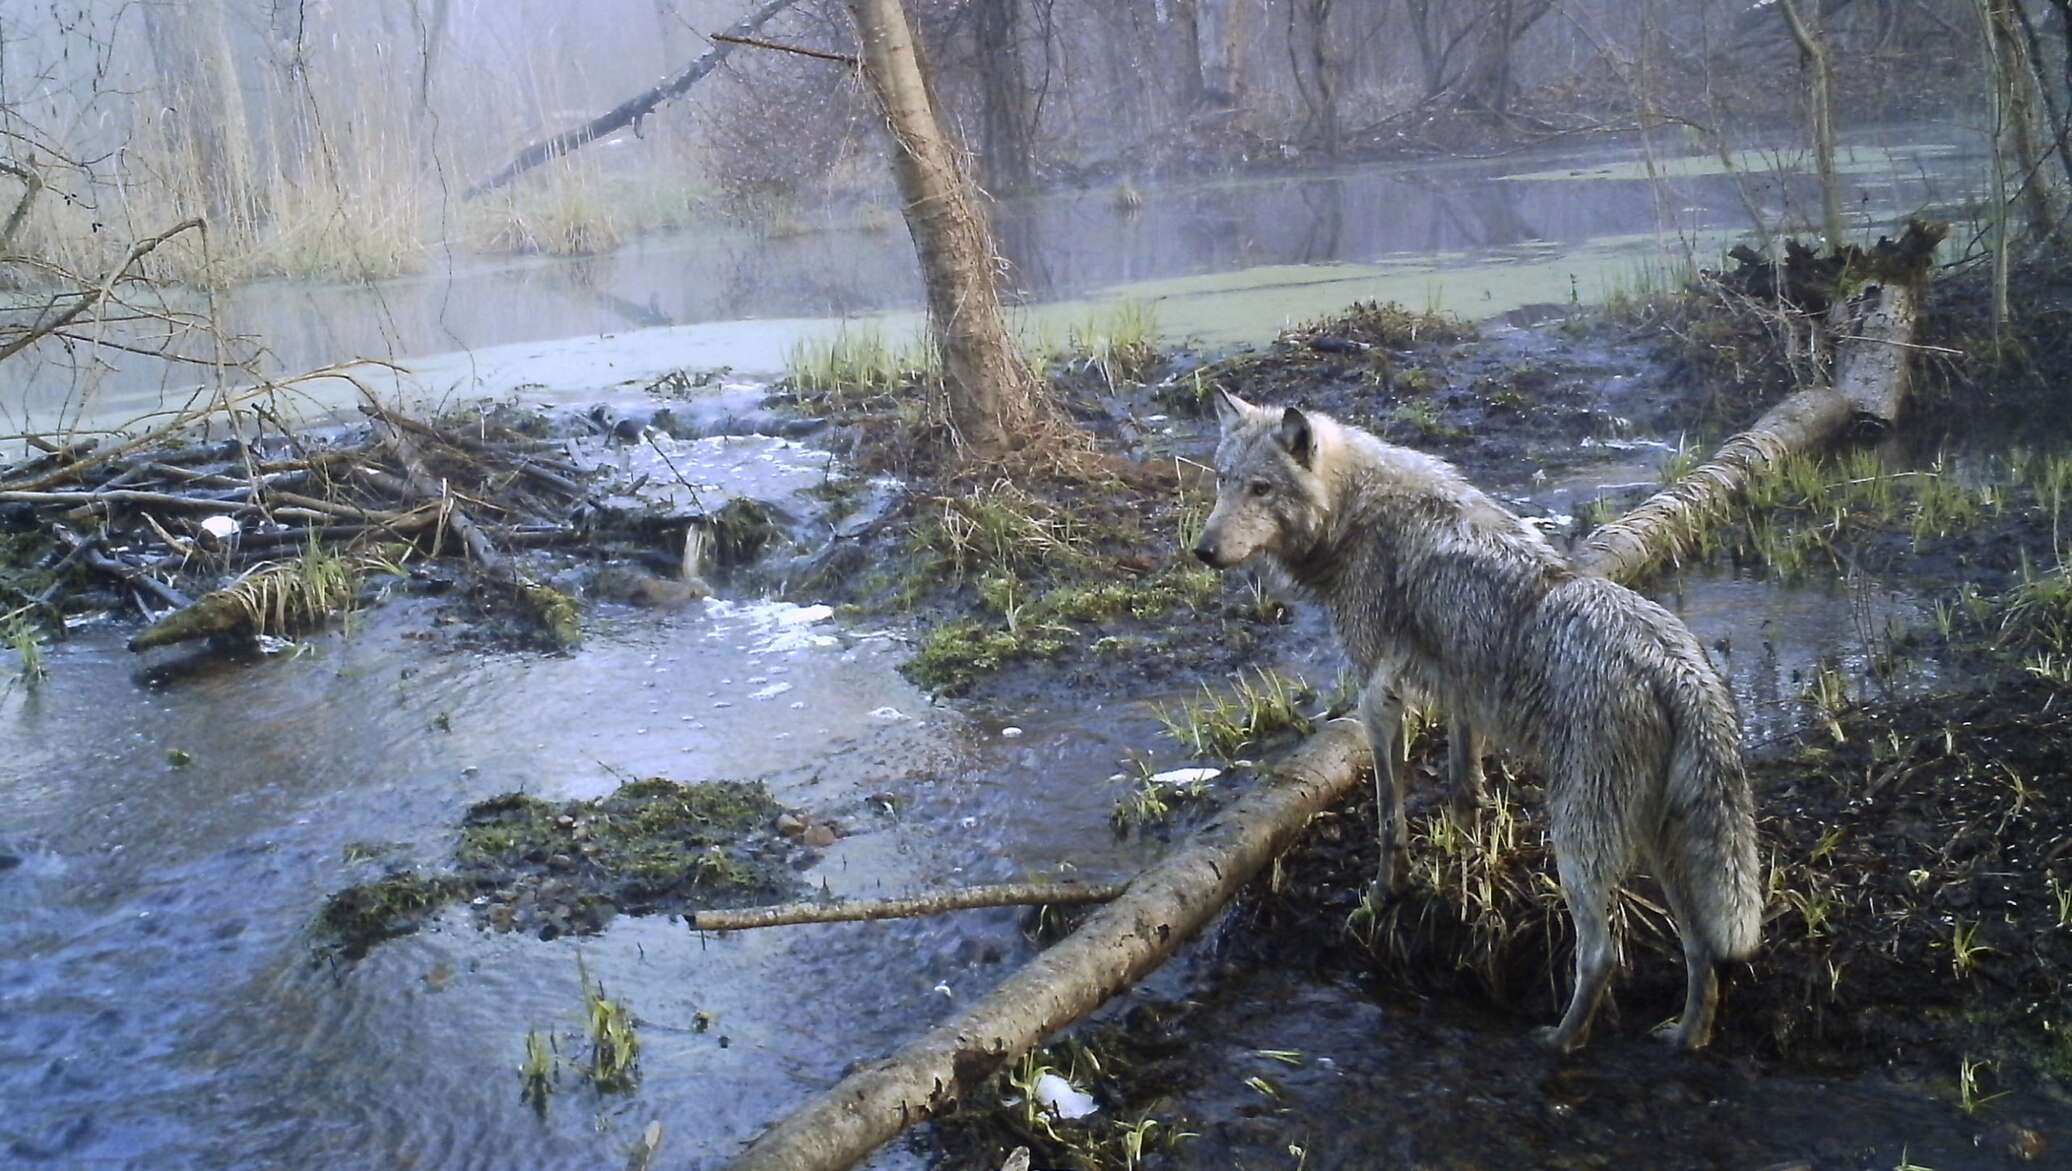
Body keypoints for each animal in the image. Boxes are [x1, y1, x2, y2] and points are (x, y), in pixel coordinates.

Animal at [1193, 387, 1757, 1044]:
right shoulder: (1461, 692)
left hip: (1580, 844)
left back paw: (1561, 1042)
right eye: (1223, 480)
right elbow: (1464, 788)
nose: (1203, 551)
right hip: (1657, 844)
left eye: (1261, 489)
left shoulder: (1379, 698)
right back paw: (1685, 1038)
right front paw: (1462, 865)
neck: (1356, 512)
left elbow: (1389, 819)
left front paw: (1383, 896)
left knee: (1601, 954)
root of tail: (1677, 668)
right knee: (1701, 949)